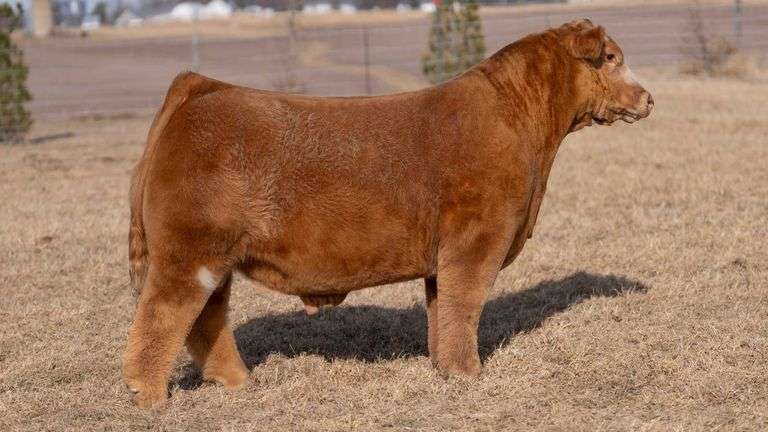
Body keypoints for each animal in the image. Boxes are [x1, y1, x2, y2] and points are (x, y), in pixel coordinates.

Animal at [123, 19, 653, 408]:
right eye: (611, 58)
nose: (648, 98)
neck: (524, 129)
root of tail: (200, 86)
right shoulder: (477, 240)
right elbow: (466, 304)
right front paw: (469, 374)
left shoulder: (444, 256)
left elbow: (443, 309)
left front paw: (445, 369)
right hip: (189, 251)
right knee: (163, 315)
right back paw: (149, 398)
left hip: (214, 258)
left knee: (206, 319)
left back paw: (238, 382)